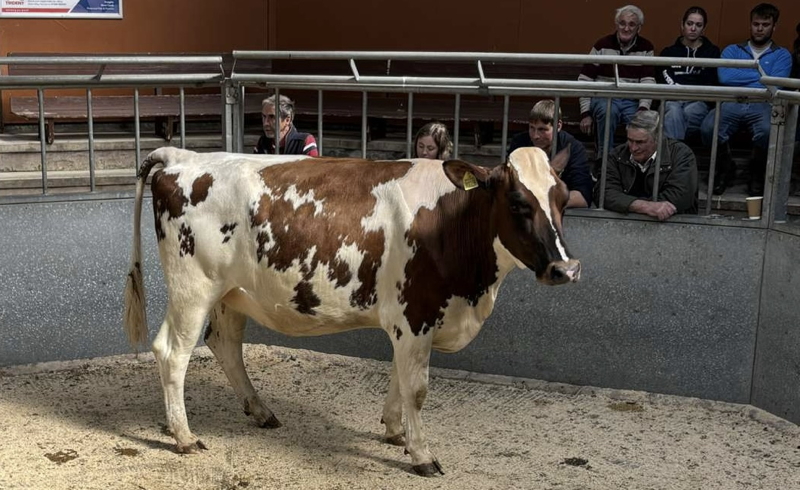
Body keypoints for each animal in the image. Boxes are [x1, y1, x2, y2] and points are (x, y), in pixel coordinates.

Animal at [123, 146, 580, 477]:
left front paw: (395, 431)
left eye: (563, 199)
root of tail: (183, 156)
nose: (566, 269)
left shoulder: (409, 321)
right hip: (193, 286)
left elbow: (399, 376)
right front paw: (421, 454)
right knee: (173, 352)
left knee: (225, 343)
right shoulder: (415, 314)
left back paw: (260, 410)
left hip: (231, 291)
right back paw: (184, 436)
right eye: (518, 202)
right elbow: (417, 388)